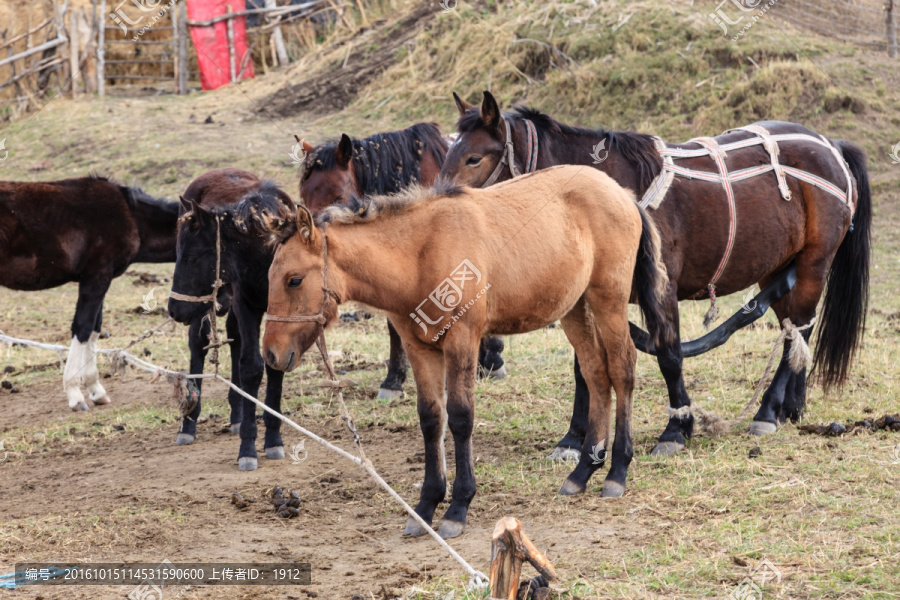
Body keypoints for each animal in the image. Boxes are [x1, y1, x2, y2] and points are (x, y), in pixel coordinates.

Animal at [0, 173, 181, 408]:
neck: (130, 216)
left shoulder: (102, 278)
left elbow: (95, 329)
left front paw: (95, 390)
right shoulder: (96, 276)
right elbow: (83, 327)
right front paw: (75, 393)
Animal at [169, 168, 296, 468]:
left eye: (192, 258)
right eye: (179, 253)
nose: (174, 309)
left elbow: (273, 364)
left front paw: (273, 440)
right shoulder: (246, 305)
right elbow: (251, 367)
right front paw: (248, 448)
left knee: (234, 339)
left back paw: (237, 416)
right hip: (205, 305)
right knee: (198, 344)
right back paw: (189, 423)